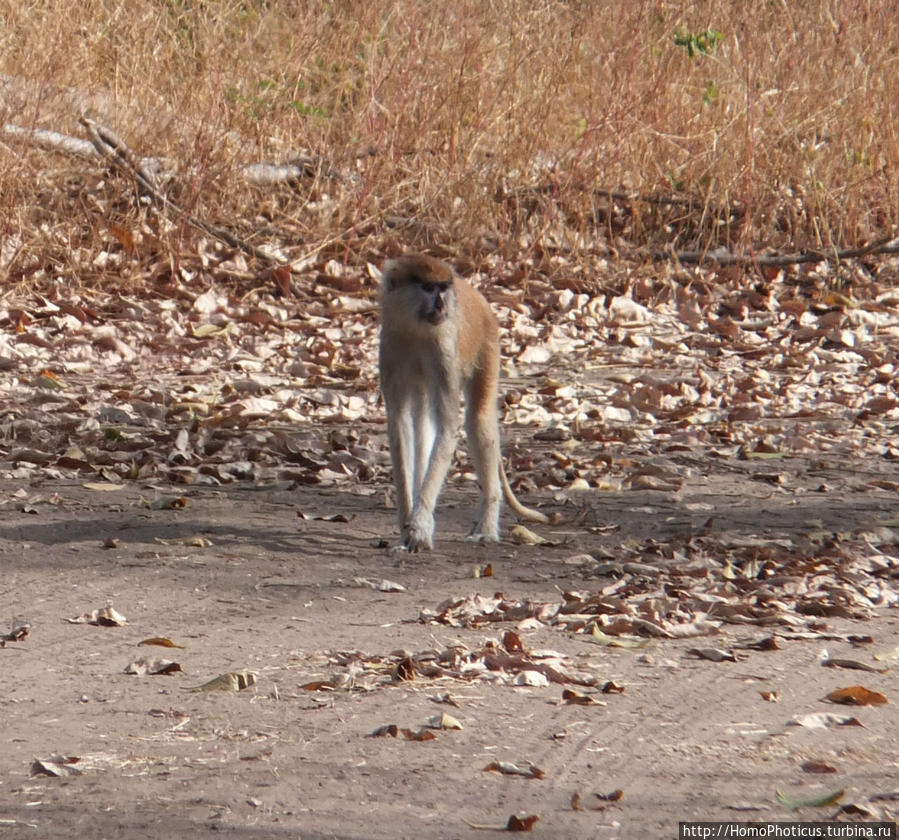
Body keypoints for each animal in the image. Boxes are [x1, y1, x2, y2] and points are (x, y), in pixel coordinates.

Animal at [376, 254, 552, 552]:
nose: (442, 305)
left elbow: (448, 425)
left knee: (477, 419)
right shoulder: (390, 350)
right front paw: (407, 524)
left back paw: (488, 526)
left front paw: (419, 527)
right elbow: (400, 425)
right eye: (427, 288)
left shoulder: (443, 352)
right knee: (422, 421)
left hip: (488, 345)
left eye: (442, 288)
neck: (416, 331)